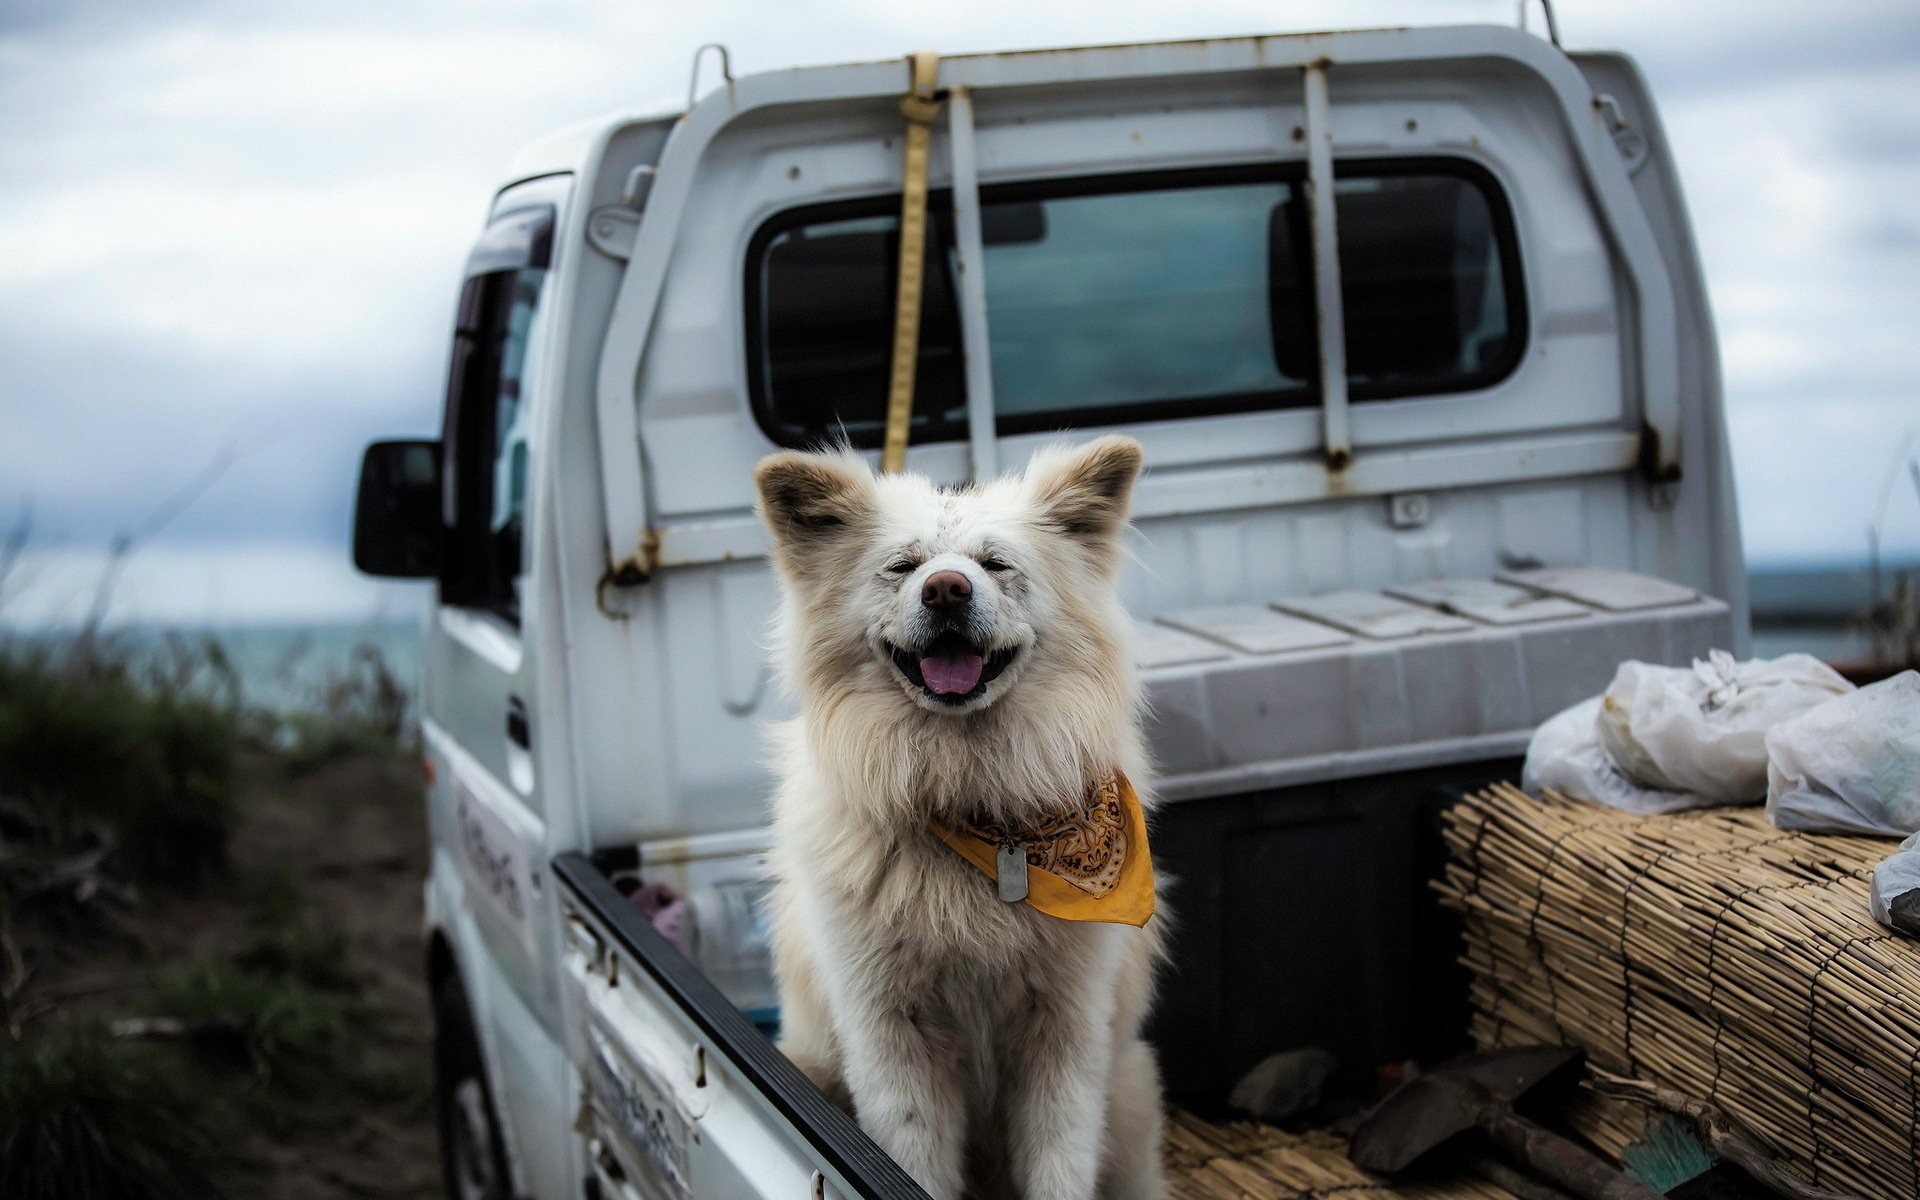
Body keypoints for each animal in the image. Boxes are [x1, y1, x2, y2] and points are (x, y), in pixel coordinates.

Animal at [752, 437, 1167, 1198]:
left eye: (996, 565)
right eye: (903, 567)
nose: (947, 589)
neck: (972, 800)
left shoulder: (1065, 1027)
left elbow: (1059, 1164)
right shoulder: (891, 1033)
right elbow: (914, 1160)